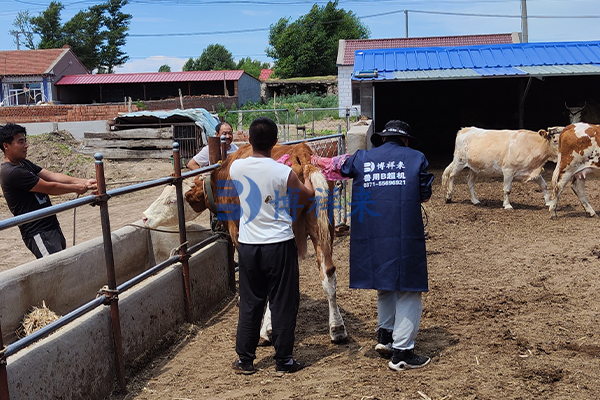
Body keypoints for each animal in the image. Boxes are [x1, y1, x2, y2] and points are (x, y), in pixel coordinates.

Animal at [142, 143, 346, 344]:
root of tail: (301, 153)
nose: (144, 217)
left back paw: (267, 331)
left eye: (171, 200)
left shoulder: (239, 232)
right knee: (328, 272)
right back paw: (337, 328)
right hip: (323, 226)